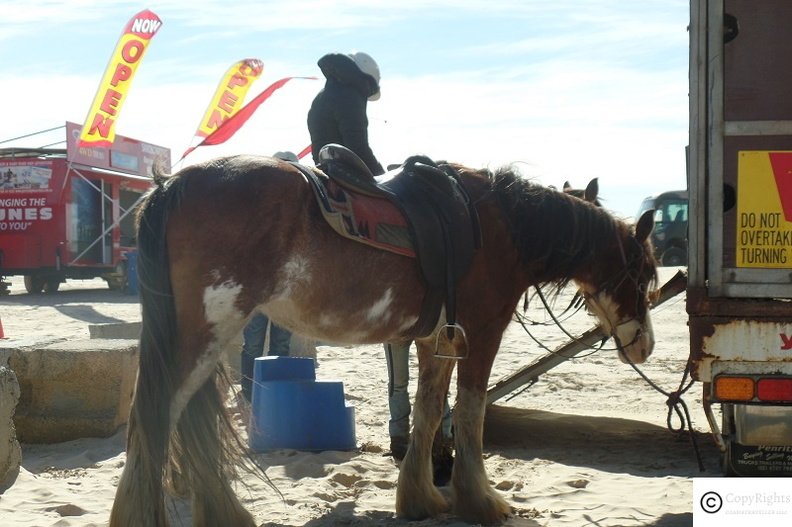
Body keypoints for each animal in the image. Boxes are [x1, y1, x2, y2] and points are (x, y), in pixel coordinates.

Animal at [108, 154, 657, 526]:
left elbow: (429, 411)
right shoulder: (482, 332)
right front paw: (481, 501)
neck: (501, 225)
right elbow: (472, 412)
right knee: (155, 417)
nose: (645, 345)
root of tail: (173, 183)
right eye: (644, 271)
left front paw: (421, 498)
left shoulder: (437, 338)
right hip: (204, 334)